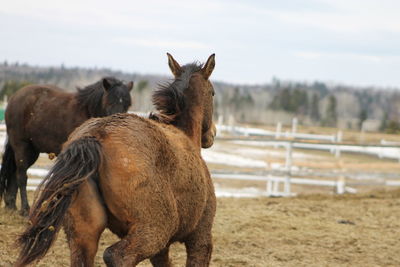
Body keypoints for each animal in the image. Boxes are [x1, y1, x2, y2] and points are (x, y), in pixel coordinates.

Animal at [0, 77, 134, 216]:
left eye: (127, 104)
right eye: (109, 102)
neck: (87, 112)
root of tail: (14, 98)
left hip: (32, 151)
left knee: (15, 173)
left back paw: (11, 206)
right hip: (21, 146)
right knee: (22, 176)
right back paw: (25, 209)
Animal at [15, 53, 217, 266]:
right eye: (212, 93)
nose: (212, 133)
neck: (185, 135)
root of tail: (97, 134)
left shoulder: (161, 251)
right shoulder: (200, 239)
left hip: (84, 236)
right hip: (153, 232)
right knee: (116, 255)